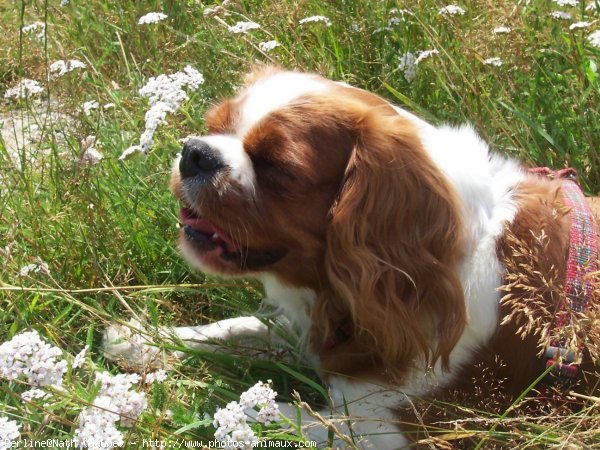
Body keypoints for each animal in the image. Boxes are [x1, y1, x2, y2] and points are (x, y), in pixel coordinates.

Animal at [104, 67, 600, 446]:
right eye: (214, 127)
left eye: (277, 167)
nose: (195, 152)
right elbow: (241, 327)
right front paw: (143, 340)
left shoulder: (396, 432)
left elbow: (263, 414)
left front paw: (135, 406)